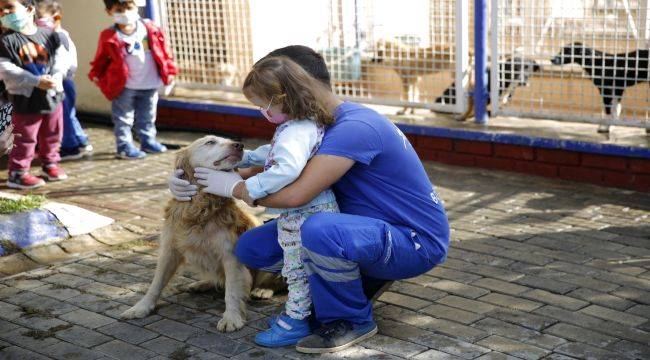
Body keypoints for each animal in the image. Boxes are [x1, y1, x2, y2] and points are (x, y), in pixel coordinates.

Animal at [120, 134, 282, 332]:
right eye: (210, 142)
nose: (239, 145)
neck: (200, 206)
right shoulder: (169, 250)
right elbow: (156, 283)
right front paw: (141, 307)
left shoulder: (231, 256)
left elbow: (232, 291)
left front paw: (231, 317)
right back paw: (201, 284)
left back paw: (263, 290)